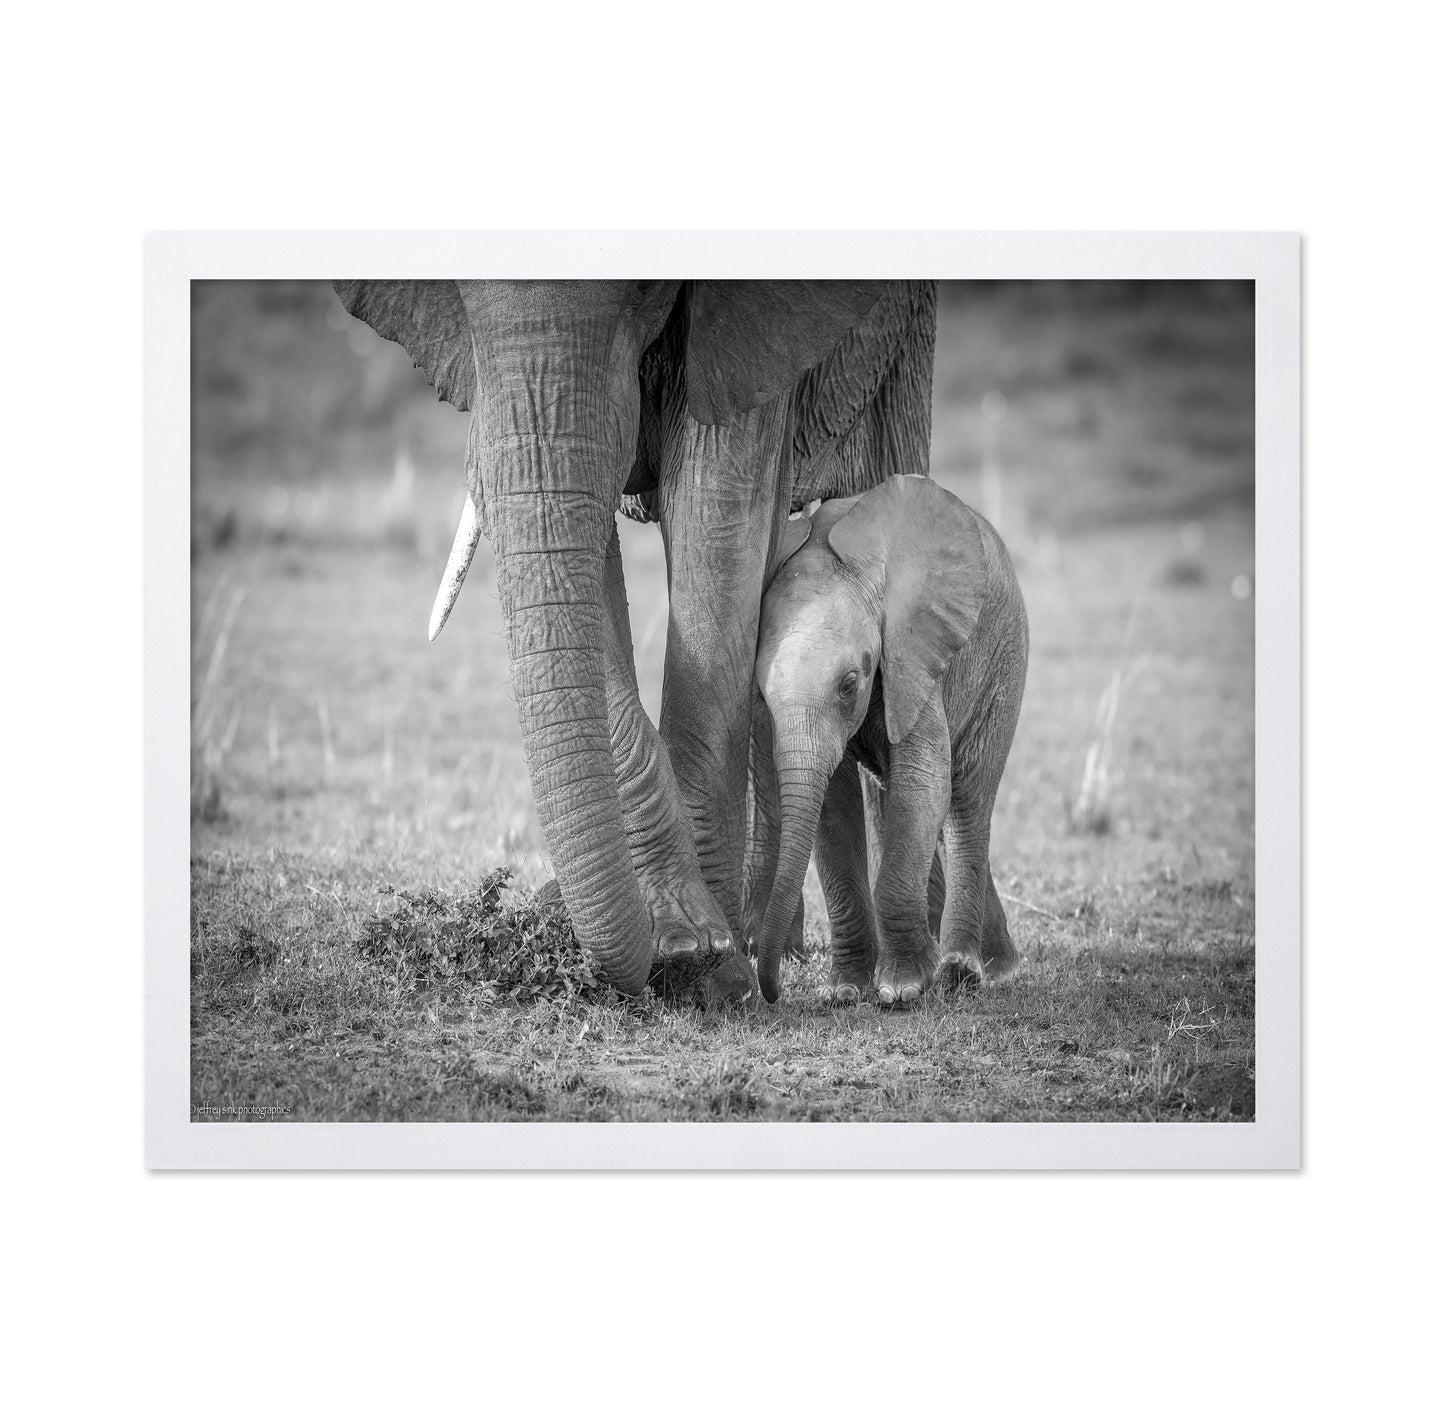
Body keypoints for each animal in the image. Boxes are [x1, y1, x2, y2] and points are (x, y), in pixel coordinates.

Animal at [333, 279, 939, 997]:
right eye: (454, 295)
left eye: (648, 292)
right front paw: (686, 945)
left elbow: (717, 514)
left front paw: (708, 968)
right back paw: (774, 946)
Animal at [751, 475, 1028, 1005]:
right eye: (760, 692)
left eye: (849, 684)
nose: (771, 994)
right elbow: (833, 807)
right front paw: (845, 992)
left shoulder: (912, 655)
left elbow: (923, 783)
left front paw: (902, 990)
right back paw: (997, 966)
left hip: (1004, 658)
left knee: (966, 800)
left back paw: (965, 972)